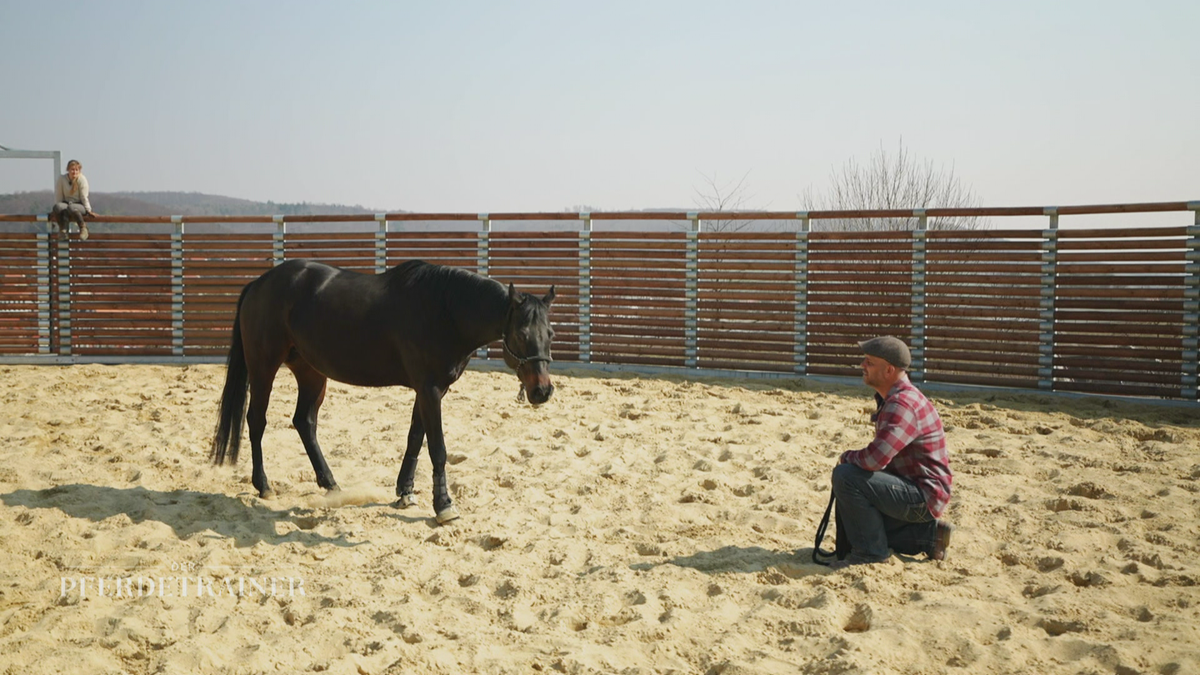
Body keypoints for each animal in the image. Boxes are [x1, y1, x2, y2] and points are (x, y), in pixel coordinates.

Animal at [211, 254, 556, 523]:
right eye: (522, 333)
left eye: (550, 333)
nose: (542, 391)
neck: (444, 310)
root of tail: (257, 284)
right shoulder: (430, 390)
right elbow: (437, 448)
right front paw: (443, 506)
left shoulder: (429, 390)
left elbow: (415, 439)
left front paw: (405, 492)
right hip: (263, 367)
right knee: (257, 421)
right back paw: (264, 485)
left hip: (311, 373)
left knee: (304, 422)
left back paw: (331, 484)